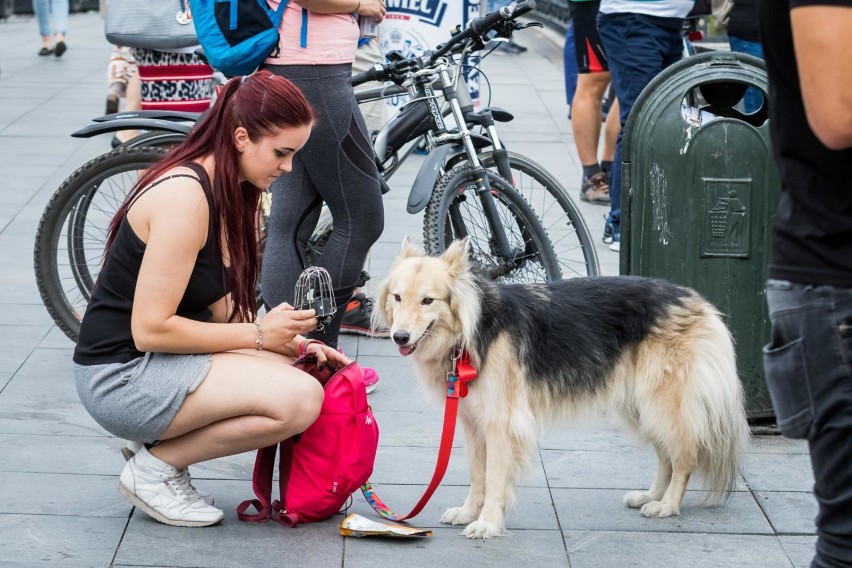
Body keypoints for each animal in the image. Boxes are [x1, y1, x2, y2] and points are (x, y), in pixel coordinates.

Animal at [376, 239, 748, 536]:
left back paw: (668, 504)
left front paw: (488, 522)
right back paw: (651, 495)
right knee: (666, 456)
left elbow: (495, 479)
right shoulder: (473, 425)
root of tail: (698, 301)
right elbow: (478, 474)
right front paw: (470, 512)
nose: (400, 337)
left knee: (683, 457)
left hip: (663, 405)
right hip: (641, 409)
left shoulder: (500, 426)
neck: (473, 328)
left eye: (428, 301)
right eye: (397, 297)